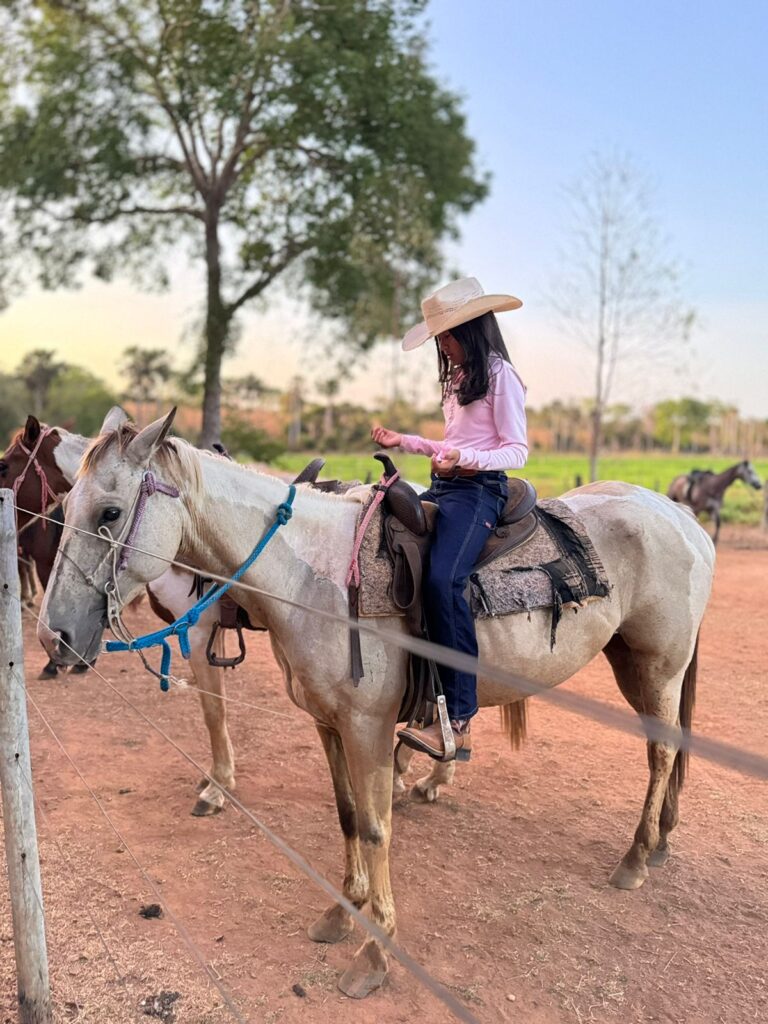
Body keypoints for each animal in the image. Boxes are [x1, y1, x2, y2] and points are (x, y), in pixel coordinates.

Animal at [40, 409, 716, 999]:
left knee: (660, 755)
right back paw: (657, 842)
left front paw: (375, 949)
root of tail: (682, 516)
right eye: (62, 508)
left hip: (656, 668)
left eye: (109, 512)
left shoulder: (368, 727)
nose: (55, 636)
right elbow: (345, 815)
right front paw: (344, 912)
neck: (313, 575)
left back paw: (634, 858)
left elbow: (373, 826)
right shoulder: (327, 722)